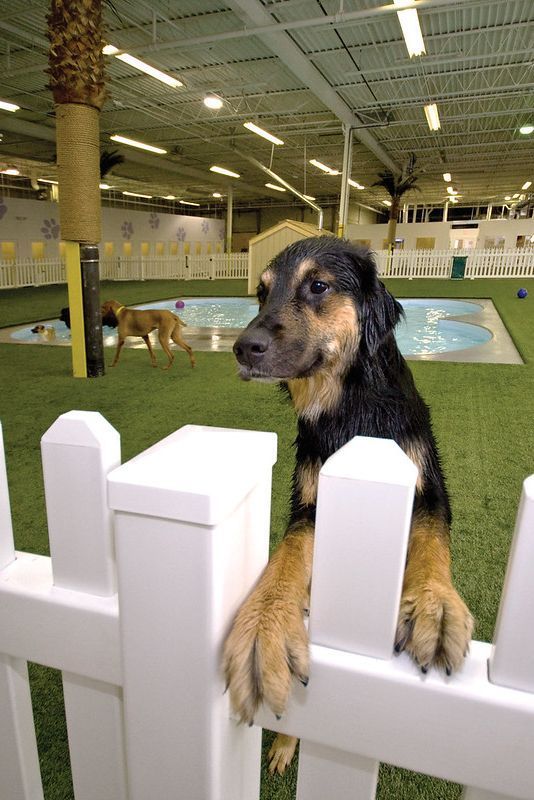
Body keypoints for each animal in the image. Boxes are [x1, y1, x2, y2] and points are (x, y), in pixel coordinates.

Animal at [224, 236, 476, 776]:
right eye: (261, 292)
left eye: (318, 286)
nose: (242, 348)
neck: (352, 408)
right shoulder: (309, 504)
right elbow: (287, 558)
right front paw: (263, 626)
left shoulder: (429, 490)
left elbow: (431, 542)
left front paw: (435, 604)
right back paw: (284, 744)